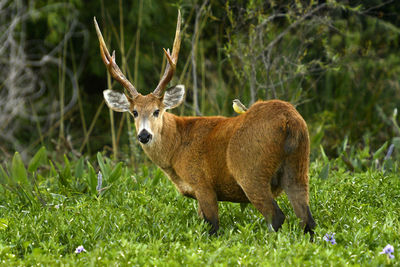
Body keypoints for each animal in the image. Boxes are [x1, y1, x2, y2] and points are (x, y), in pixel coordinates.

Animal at [93, 10, 316, 238]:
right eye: (134, 112)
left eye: (157, 110)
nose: (144, 135)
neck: (177, 147)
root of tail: (290, 121)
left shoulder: (203, 184)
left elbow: (213, 228)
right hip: (299, 167)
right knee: (308, 220)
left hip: (252, 171)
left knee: (277, 216)